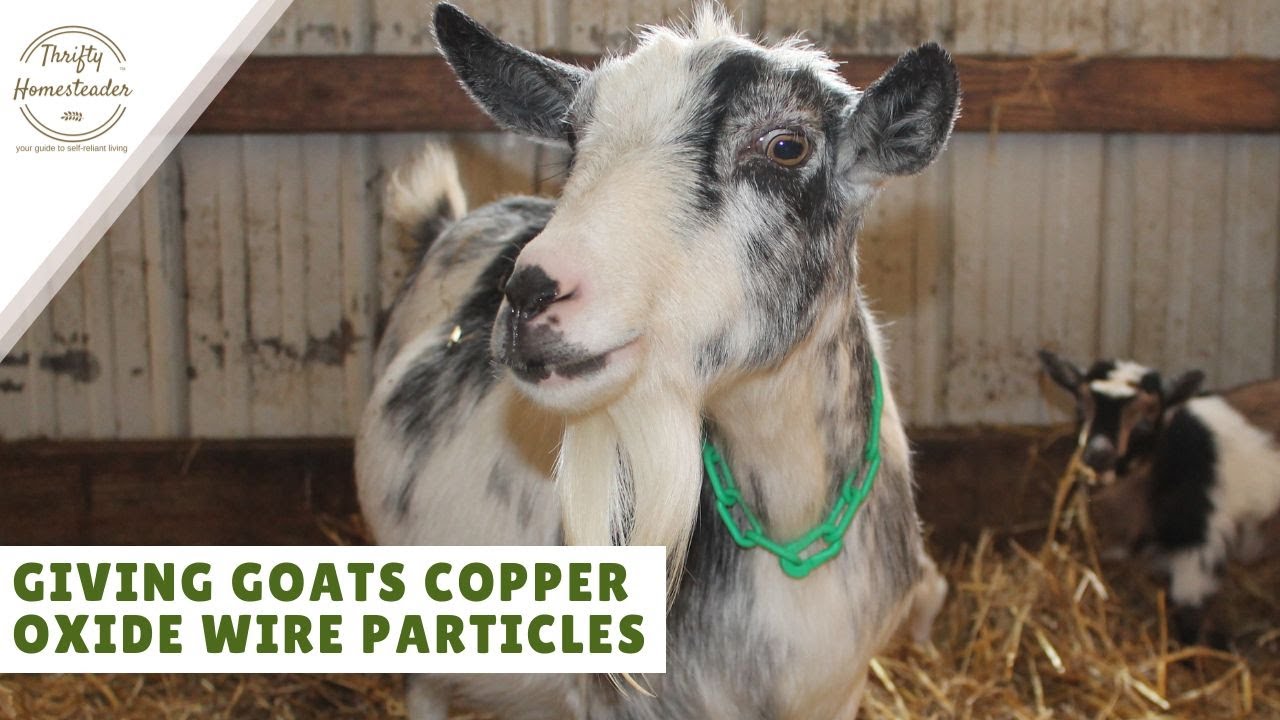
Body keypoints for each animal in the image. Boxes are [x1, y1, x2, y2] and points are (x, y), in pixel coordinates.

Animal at [357, 4, 960, 718]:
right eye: (572, 138)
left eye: (787, 147)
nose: (530, 290)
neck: (789, 526)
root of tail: (449, 225)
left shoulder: (842, 690)